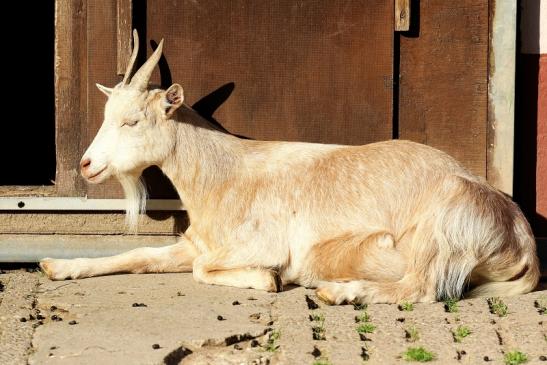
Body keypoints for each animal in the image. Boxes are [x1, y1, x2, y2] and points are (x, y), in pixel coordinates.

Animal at [39, 31, 540, 302]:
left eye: (132, 120)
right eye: (108, 115)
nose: (87, 164)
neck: (224, 174)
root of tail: (521, 236)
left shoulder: (257, 244)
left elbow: (208, 270)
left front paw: (268, 279)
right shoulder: (197, 243)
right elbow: (138, 255)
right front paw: (58, 267)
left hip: (438, 233)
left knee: (420, 287)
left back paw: (339, 291)